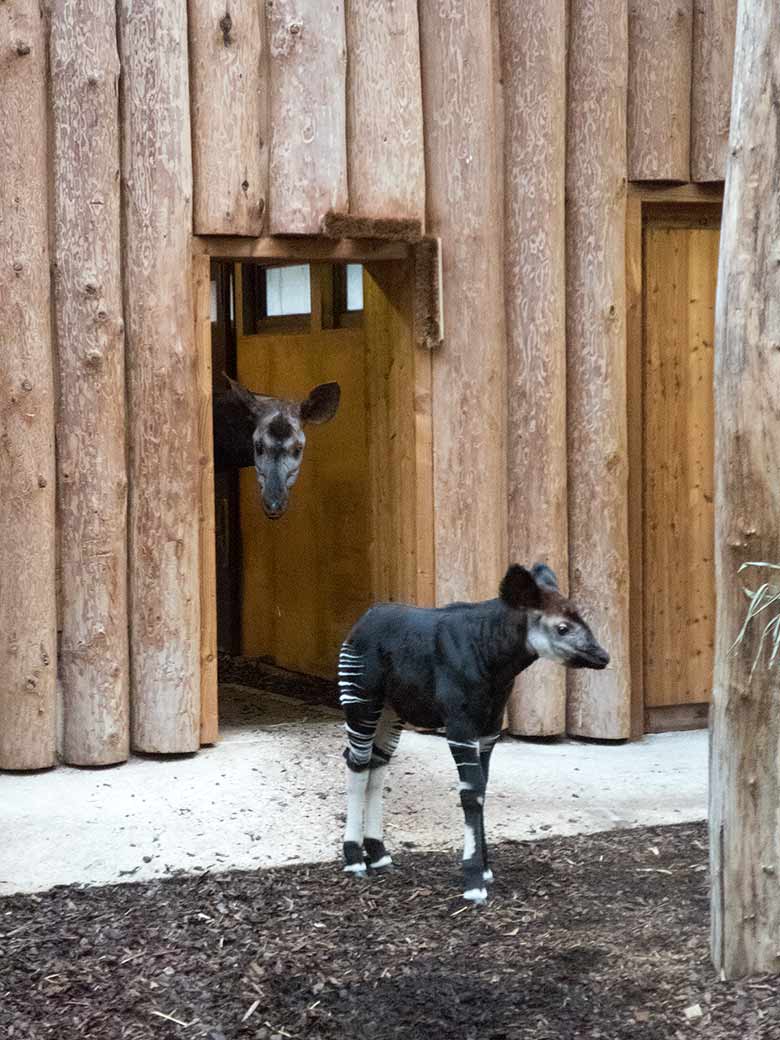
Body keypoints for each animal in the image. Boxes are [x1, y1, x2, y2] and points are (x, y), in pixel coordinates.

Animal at [341, 561, 611, 902]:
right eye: (562, 627)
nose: (603, 656)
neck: (490, 655)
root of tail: (364, 618)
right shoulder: (461, 725)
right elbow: (471, 793)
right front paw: (473, 882)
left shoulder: (488, 730)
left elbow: (482, 787)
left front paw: (484, 870)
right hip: (362, 699)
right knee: (357, 763)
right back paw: (354, 861)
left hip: (392, 710)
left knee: (376, 765)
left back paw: (379, 855)